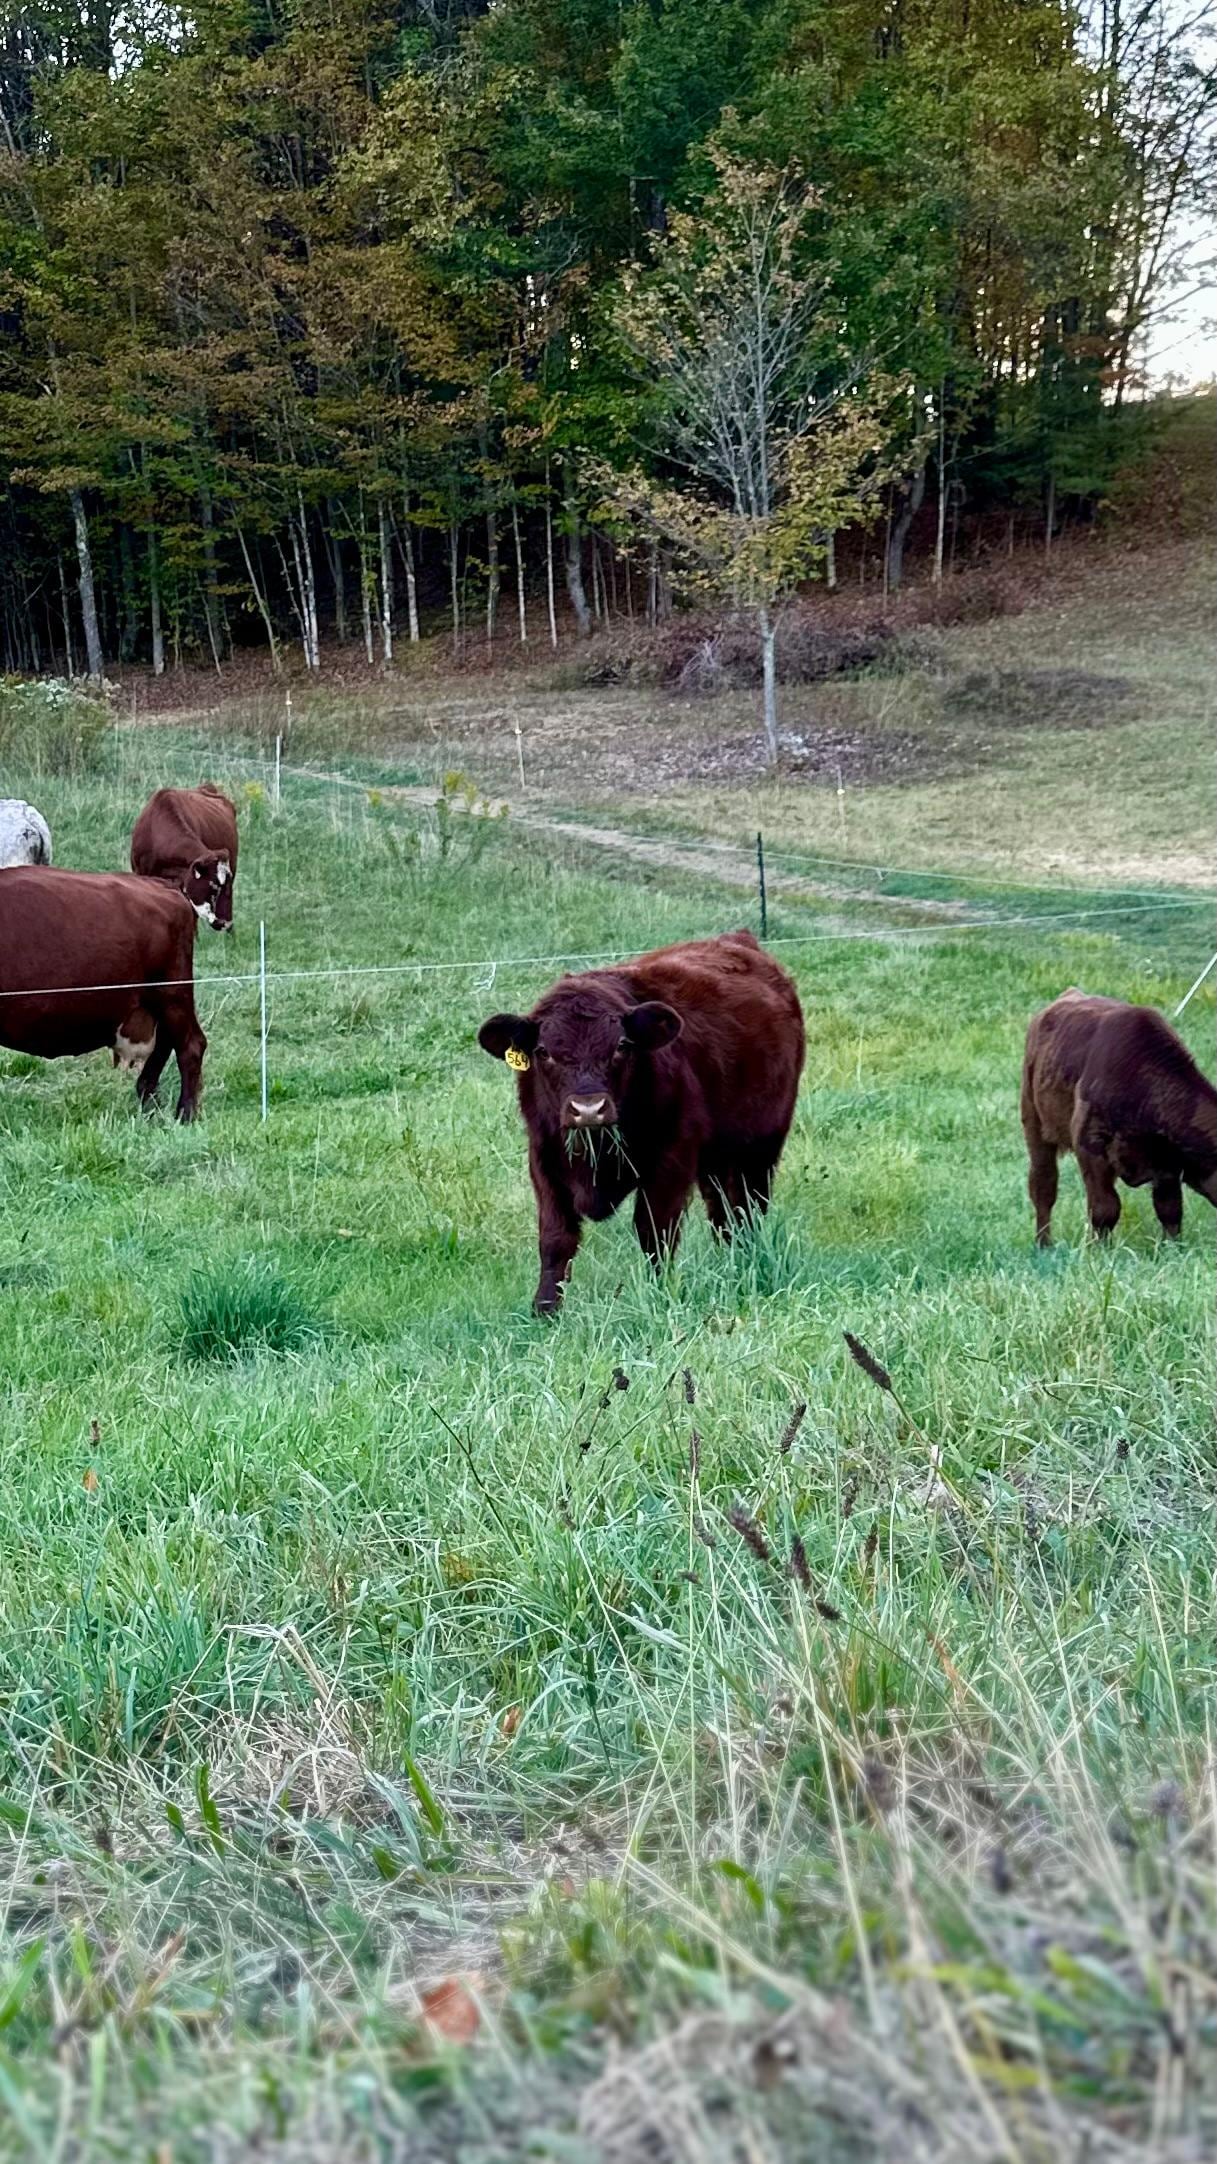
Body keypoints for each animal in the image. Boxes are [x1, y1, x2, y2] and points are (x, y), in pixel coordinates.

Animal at [0, 868, 206, 1120]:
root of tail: (163, 885)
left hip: (172, 993)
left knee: (190, 1046)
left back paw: (185, 1114)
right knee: (165, 1045)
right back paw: (148, 1104)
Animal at [478, 929, 805, 1313]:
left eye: (622, 1046)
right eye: (543, 1052)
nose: (588, 1108)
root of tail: (737, 939)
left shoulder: (670, 1159)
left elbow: (655, 1231)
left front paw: (660, 1292)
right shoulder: (544, 1157)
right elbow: (555, 1239)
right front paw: (545, 1310)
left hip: (761, 1145)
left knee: (747, 1207)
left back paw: (745, 1259)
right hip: (716, 1158)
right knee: (723, 1211)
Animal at [1021, 990, 1217, 1245]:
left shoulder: (1167, 1162)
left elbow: (1170, 1208)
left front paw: (1171, 1247)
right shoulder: (1090, 1145)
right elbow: (1105, 1207)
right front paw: (1099, 1248)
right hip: (1033, 1121)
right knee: (1043, 1186)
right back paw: (1043, 1244)